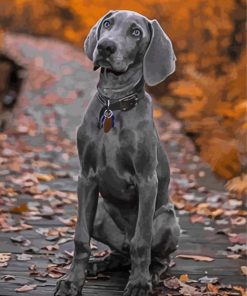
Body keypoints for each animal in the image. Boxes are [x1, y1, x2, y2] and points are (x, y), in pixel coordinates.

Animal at [55, 9, 180, 296]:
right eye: (108, 24)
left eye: (136, 32)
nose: (105, 46)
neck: (114, 103)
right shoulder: (86, 177)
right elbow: (80, 238)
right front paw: (72, 281)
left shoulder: (147, 180)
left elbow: (142, 241)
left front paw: (139, 283)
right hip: (100, 213)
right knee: (120, 253)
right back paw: (99, 263)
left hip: (168, 220)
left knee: (158, 256)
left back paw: (152, 274)